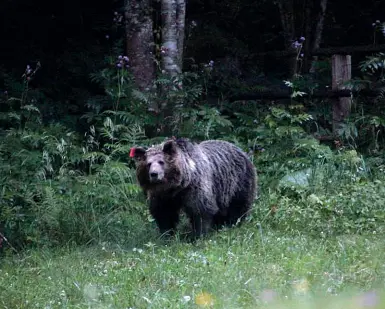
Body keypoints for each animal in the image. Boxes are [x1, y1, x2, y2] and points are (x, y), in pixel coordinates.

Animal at [130, 137, 258, 238]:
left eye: (161, 162)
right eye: (148, 164)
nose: (154, 174)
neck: (177, 186)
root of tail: (238, 148)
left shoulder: (194, 188)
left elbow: (200, 211)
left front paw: (198, 235)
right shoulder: (163, 196)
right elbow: (164, 213)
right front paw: (166, 234)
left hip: (238, 182)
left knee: (238, 205)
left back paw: (233, 223)